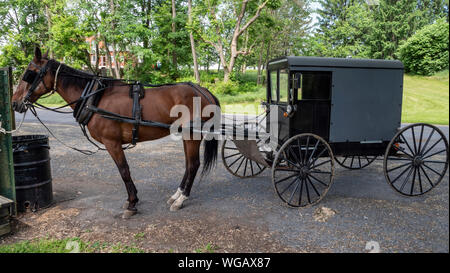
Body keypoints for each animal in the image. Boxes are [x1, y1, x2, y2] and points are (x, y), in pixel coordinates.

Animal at [11, 45, 221, 218]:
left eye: (29, 73)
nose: (14, 102)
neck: (95, 97)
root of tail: (203, 90)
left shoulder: (112, 142)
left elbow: (124, 171)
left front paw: (132, 204)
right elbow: (124, 171)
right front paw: (132, 201)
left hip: (192, 135)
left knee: (193, 165)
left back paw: (181, 199)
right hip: (187, 134)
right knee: (188, 164)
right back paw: (177, 195)